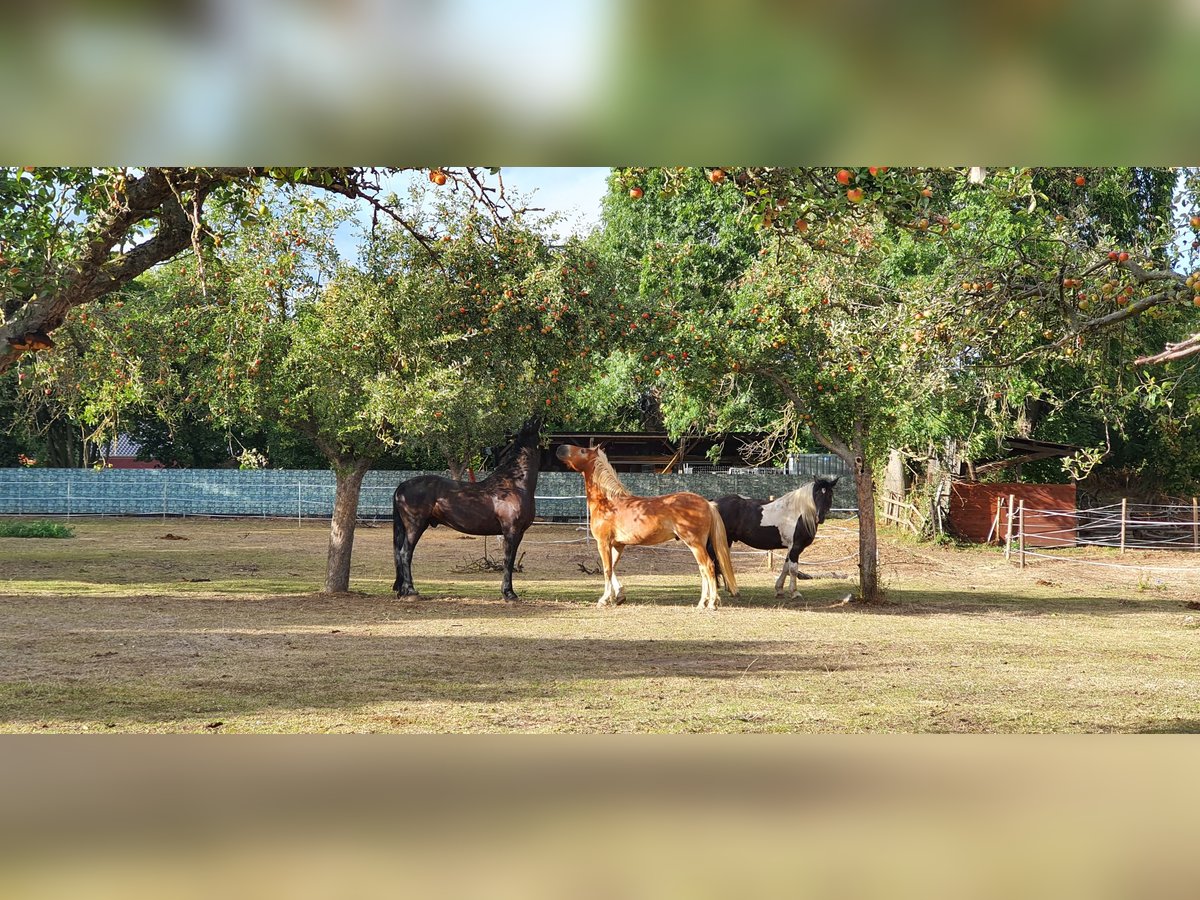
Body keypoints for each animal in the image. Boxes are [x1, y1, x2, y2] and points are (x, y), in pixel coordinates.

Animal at [393, 417, 544, 602]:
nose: (538, 416)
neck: (514, 484)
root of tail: (402, 486)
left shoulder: (519, 532)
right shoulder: (511, 531)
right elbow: (508, 560)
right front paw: (509, 594)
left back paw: (403, 591)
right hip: (415, 526)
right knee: (405, 554)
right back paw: (411, 591)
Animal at [554, 444, 739, 614]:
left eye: (582, 450)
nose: (560, 448)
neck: (608, 502)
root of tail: (707, 503)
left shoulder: (603, 542)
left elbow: (606, 570)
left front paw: (604, 599)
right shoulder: (618, 545)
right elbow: (612, 568)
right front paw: (619, 596)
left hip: (695, 543)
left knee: (708, 566)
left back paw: (712, 603)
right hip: (699, 545)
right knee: (703, 569)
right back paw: (702, 603)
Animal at [705, 480, 840, 600]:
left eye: (829, 494)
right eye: (816, 494)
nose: (819, 517)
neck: (799, 513)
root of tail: (712, 503)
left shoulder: (791, 548)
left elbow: (785, 568)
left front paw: (779, 590)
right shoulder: (796, 547)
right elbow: (793, 570)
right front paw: (794, 593)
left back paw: (730, 590)